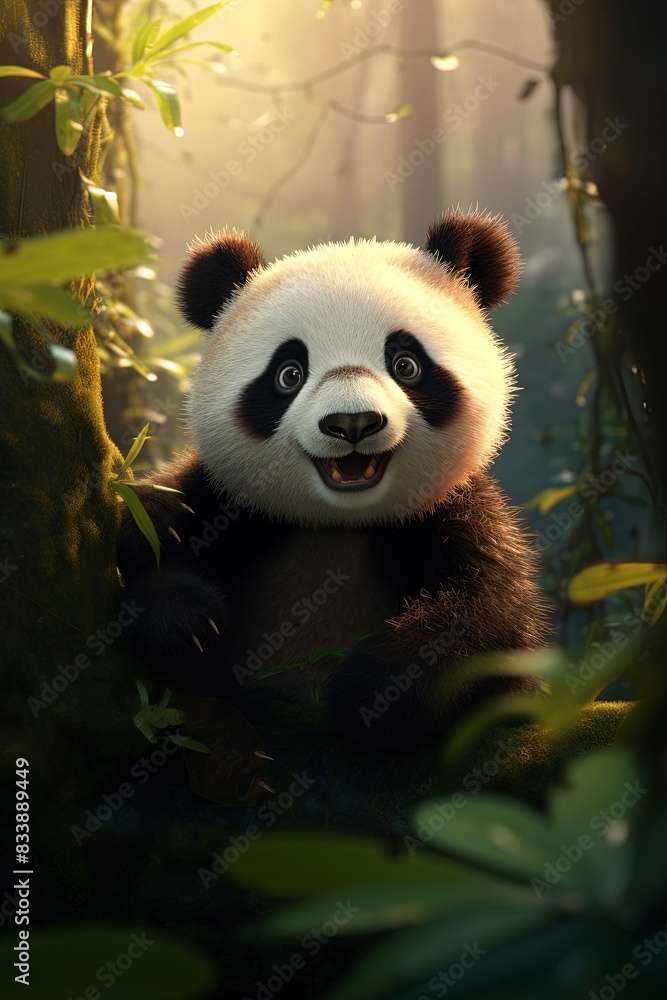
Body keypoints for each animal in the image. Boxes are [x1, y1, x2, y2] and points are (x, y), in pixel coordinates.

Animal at [117, 208, 546, 755]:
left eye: (406, 364)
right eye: (289, 374)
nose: (353, 423)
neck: (340, 526)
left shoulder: (453, 508)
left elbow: (493, 616)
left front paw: (374, 691)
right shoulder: (233, 503)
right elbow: (145, 543)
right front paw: (184, 615)